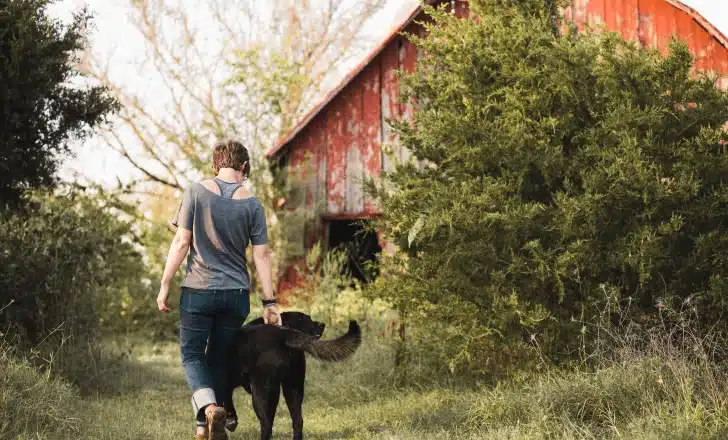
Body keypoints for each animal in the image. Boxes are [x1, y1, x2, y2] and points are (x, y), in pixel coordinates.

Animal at [220, 312, 360, 440]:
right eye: (303, 318)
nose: (322, 324)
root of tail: (283, 333)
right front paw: (230, 420)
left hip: (261, 391)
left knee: (266, 424)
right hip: (292, 387)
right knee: (297, 421)